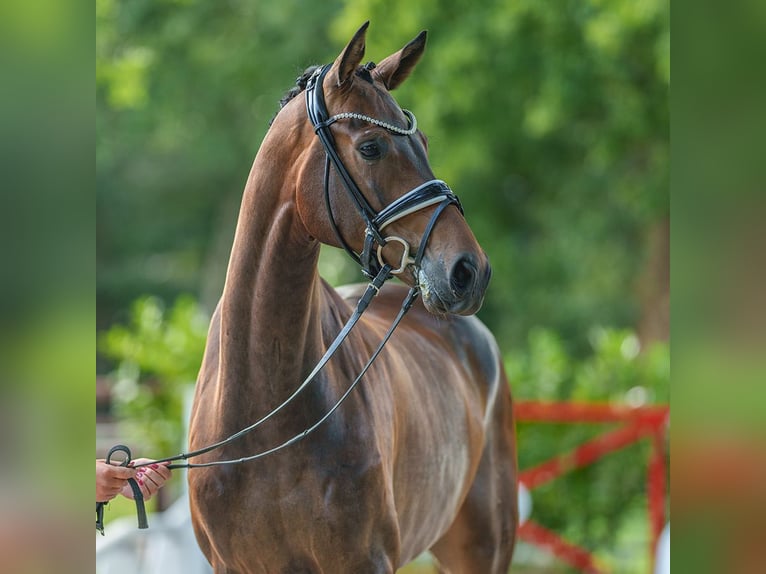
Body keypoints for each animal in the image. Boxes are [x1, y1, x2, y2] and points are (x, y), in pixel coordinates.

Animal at [189, 21, 520, 572]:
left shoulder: (365, 559)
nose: (469, 271)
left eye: (422, 141)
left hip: (483, 547)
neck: (266, 414)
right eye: (370, 147)